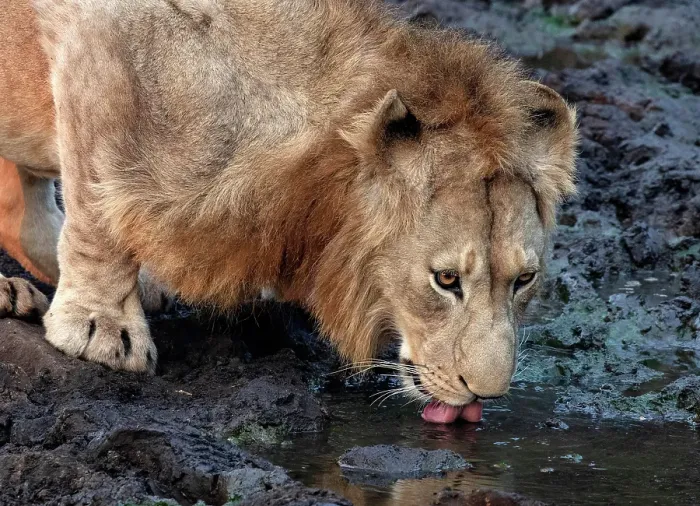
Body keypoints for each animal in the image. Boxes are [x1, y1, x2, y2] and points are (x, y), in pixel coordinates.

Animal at [0, 0, 576, 423]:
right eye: (446, 279)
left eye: (525, 280)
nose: (488, 394)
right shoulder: (99, 43)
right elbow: (96, 208)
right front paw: (102, 329)